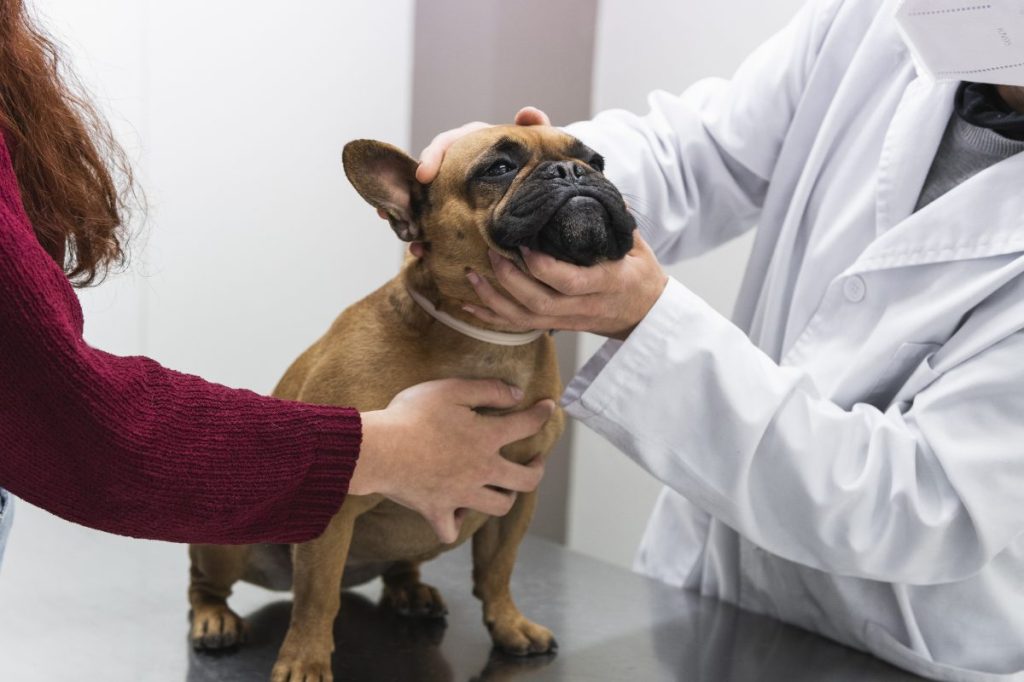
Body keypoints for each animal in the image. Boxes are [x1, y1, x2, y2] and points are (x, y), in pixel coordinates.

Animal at [184, 124, 630, 675]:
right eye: (499, 167)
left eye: (598, 161)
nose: (573, 171)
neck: (491, 338)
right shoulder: (335, 503)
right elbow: (316, 598)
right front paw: (305, 661)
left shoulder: (518, 494)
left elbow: (498, 569)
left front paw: (509, 624)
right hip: (227, 540)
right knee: (208, 586)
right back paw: (214, 619)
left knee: (400, 569)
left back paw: (410, 591)